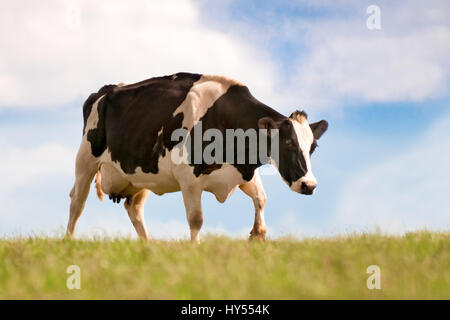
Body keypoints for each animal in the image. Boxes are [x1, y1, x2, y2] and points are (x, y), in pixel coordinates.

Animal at [67, 73, 326, 242]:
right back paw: (68, 242)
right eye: (288, 143)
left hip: (140, 175)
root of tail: (106, 89)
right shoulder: (188, 177)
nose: (310, 185)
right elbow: (196, 219)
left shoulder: (242, 171)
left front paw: (257, 236)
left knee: (134, 208)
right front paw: (195, 250)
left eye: (313, 147)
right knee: (77, 202)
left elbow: (261, 199)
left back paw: (148, 247)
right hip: (85, 160)